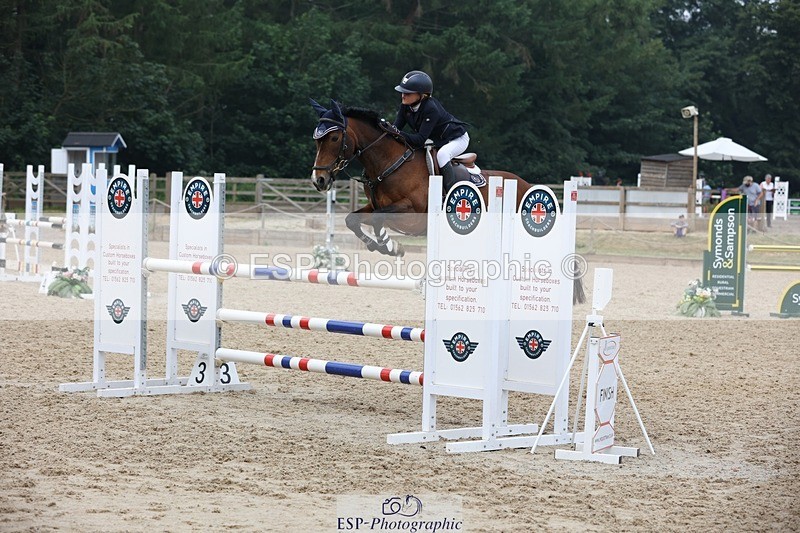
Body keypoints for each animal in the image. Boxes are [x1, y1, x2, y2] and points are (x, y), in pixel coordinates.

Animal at [309, 99, 585, 303]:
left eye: (334, 138)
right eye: (317, 139)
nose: (319, 179)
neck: (390, 163)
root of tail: (527, 186)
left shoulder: (410, 213)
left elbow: (378, 221)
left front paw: (390, 246)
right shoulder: (376, 206)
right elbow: (352, 220)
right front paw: (382, 245)